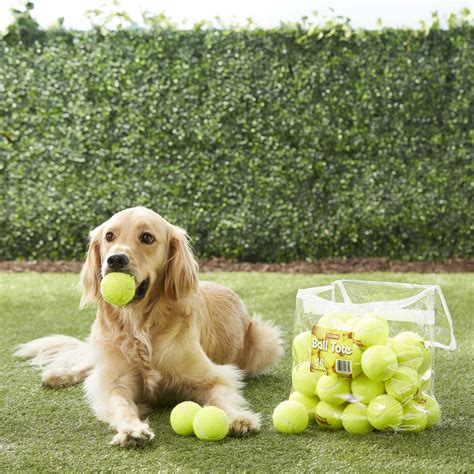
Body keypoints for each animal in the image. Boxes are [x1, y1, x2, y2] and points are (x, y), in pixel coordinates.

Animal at [14, 206, 284, 446]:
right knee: (90, 367)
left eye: (147, 238)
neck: (140, 326)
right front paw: (131, 429)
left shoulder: (213, 376)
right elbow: (120, 404)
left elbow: (222, 397)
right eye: (109, 236)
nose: (115, 259)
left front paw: (238, 418)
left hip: (266, 341)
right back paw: (60, 374)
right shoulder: (116, 380)